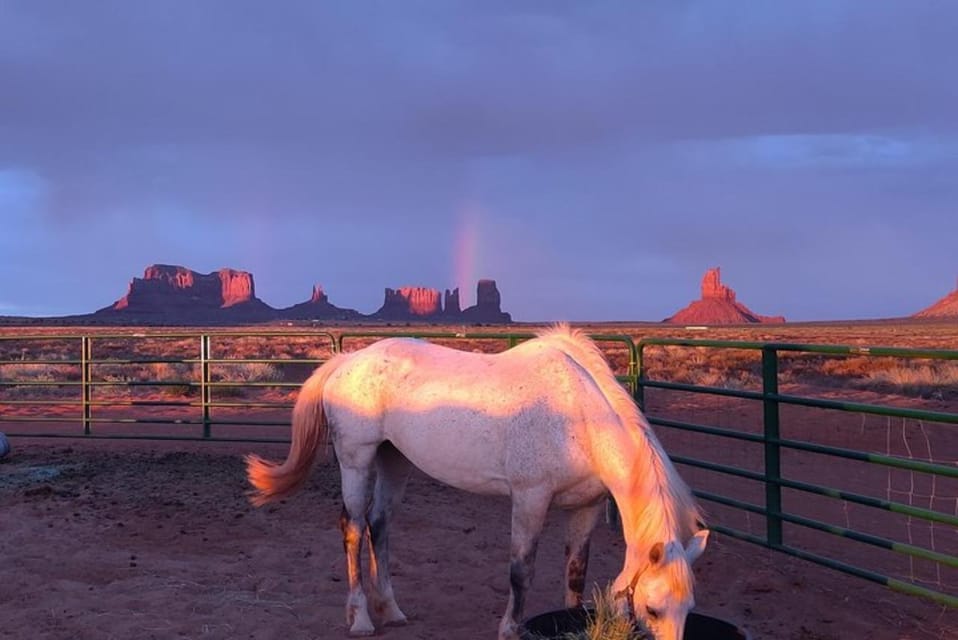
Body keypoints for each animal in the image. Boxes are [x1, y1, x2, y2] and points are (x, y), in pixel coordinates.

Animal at [246, 328, 712, 640]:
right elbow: (521, 571)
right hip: (356, 459)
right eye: (652, 609)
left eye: (688, 608)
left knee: (380, 525)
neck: (580, 417)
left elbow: (576, 574)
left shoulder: (586, 506)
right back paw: (361, 618)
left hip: (394, 459)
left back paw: (391, 610)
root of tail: (346, 361)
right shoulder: (529, 499)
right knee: (354, 529)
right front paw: (509, 628)